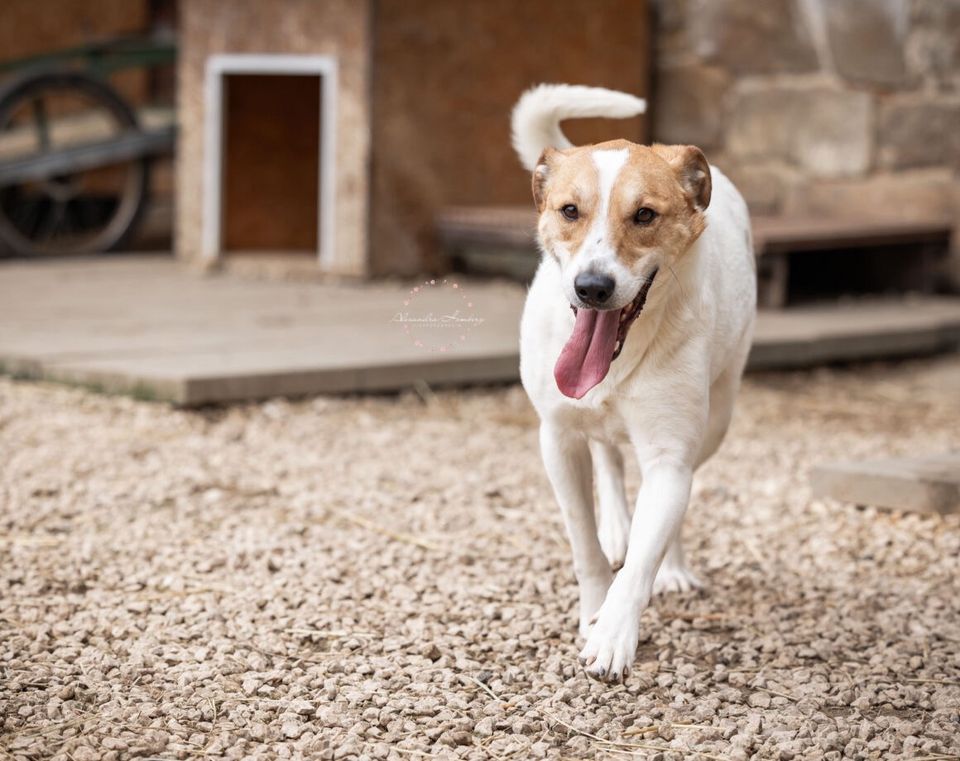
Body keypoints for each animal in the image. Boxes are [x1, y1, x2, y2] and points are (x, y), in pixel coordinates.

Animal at [512, 84, 752, 684]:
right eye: (569, 211)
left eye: (644, 214)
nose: (592, 287)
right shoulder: (558, 438)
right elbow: (584, 542)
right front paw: (594, 609)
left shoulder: (669, 454)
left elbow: (644, 557)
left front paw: (614, 633)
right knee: (609, 456)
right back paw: (618, 523)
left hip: (715, 420)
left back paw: (673, 565)